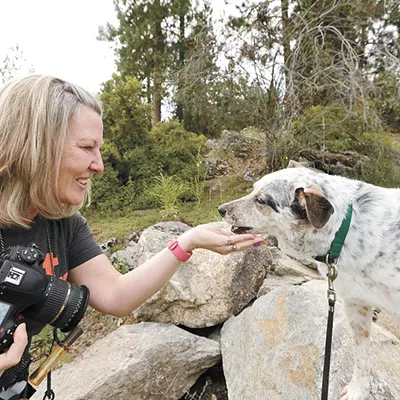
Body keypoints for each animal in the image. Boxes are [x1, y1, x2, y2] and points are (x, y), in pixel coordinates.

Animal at [219, 162, 400, 400]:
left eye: (262, 200)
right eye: (253, 190)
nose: (221, 209)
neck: (344, 230)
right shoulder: (356, 302)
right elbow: (360, 353)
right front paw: (358, 390)